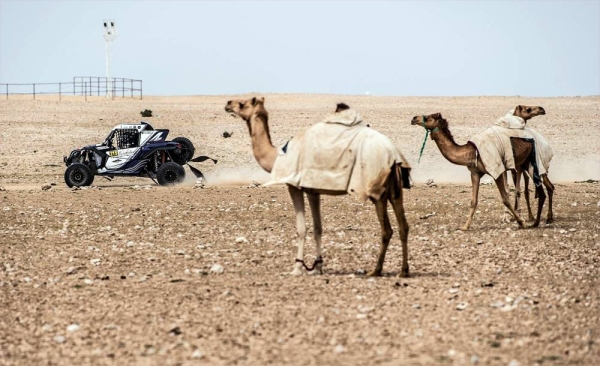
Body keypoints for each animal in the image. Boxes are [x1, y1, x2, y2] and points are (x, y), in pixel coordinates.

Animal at [227, 97, 410, 278]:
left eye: (242, 104)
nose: (228, 104)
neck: (277, 155)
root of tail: (393, 154)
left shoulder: (294, 186)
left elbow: (301, 228)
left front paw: (297, 268)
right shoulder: (312, 190)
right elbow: (318, 228)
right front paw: (317, 267)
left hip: (376, 189)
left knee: (386, 229)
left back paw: (376, 271)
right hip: (395, 190)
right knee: (403, 226)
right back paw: (403, 271)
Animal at [412, 107, 552, 230]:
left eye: (428, 117)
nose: (413, 118)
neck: (472, 152)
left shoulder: (496, 170)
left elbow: (505, 198)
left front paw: (521, 222)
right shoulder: (475, 173)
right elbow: (473, 200)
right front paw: (465, 227)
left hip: (534, 162)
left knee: (541, 191)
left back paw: (537, 222)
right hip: (525, 163)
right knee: (542, 191)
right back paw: (540, 220)